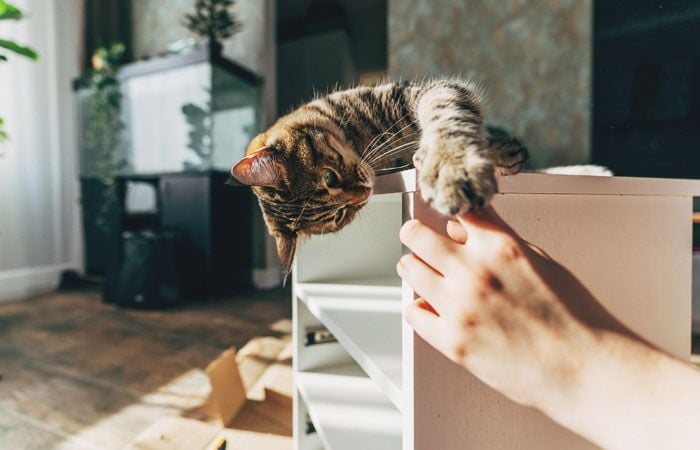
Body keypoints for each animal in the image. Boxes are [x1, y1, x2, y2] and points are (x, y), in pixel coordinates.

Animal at [230, 79, 524, 276]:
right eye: (340, 215)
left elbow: (446, 113)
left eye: (329, 177)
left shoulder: (415, 94)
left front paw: (453, 165)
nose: (364, 191)